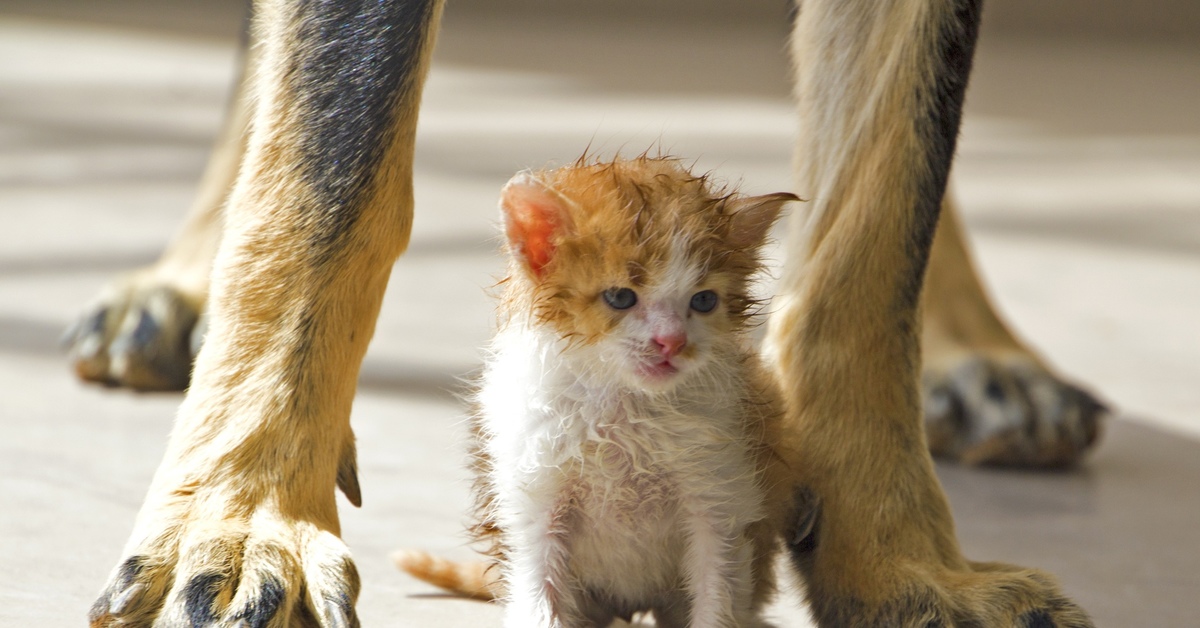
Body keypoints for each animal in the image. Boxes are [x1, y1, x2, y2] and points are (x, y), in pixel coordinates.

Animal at [398, 157, 801, 628]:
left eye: (703, 301)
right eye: (620, 297)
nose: (672, 342)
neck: (623, 407)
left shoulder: (720, 500)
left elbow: (716, 599)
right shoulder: (534, 501)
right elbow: (539, 599)